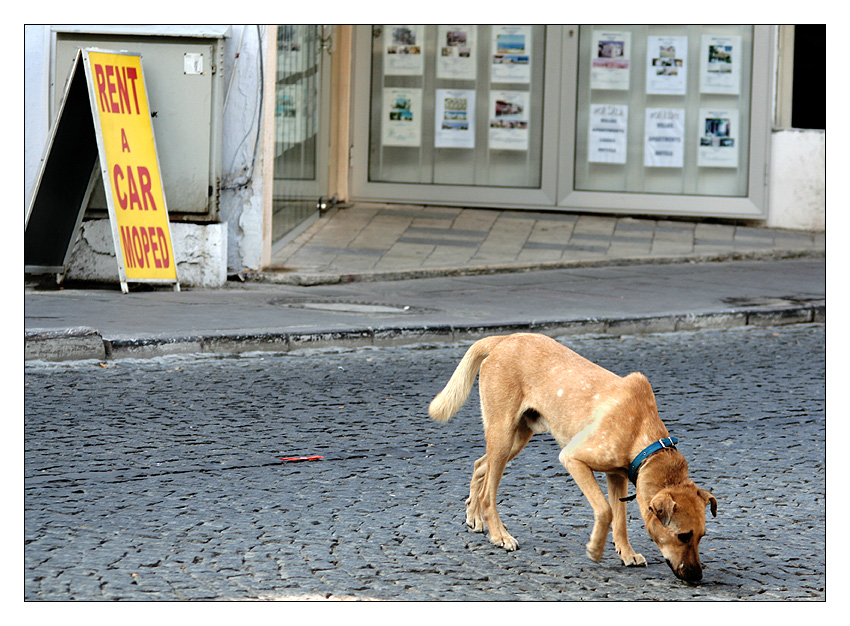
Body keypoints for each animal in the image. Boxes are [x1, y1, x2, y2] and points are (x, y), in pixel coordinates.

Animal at [430, 332, 716, 580]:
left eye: (702, 536)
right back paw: (499, 535)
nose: (697, 577)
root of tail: (505, 338)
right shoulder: (572, 458)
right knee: (489, 493)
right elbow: (605, 510)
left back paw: (474, 517)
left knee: (480, 466)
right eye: (683, 536)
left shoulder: (617, 476)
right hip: (503, 434)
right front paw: (596, 548)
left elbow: (620, 519)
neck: (645, 439)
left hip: (518, 437)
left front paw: (626, 553)